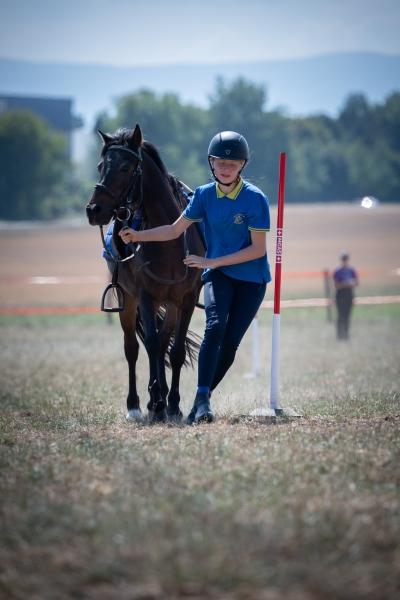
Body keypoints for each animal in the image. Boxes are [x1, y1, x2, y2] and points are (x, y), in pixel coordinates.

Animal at [86, 123, 205, 422]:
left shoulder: (185, 299)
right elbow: (149, 344)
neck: (168, 239)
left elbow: (173, 351)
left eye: (126, 167)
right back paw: (138, 405)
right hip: (128, 302)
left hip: (170, 305)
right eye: (100, 165)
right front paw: (158, 402)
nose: (93, 210)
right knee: (133, 348)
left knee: (163, 345)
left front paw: (172, 404)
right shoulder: (145, 296)